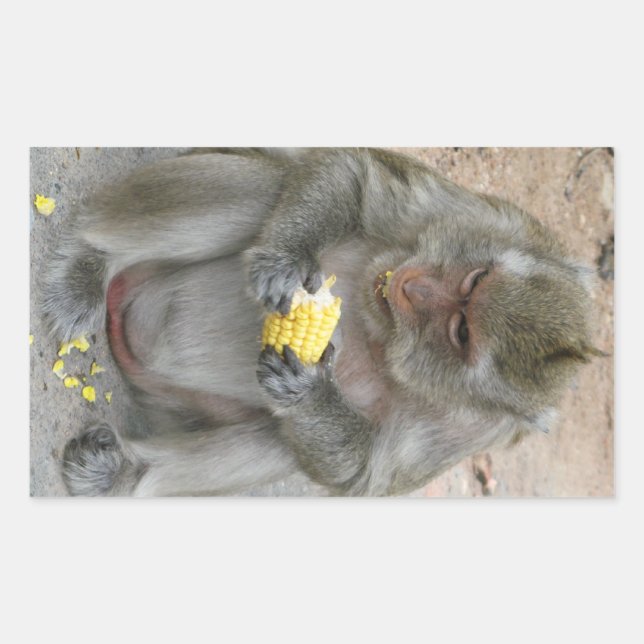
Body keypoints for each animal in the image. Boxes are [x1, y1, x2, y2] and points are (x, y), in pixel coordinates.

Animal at [40, 147, 600, 496]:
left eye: (461, 332)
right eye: (476, 280)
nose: (413, 285)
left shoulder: (471, 436)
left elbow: (363, 471)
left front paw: (309, 389)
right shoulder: (482, 217)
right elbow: (356, 177)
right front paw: (285, 261)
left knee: (277, 443)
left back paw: (127, 471)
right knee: (271, 187)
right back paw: (93, 262)